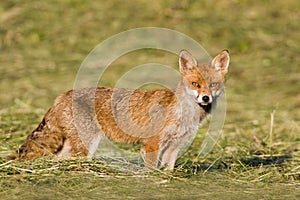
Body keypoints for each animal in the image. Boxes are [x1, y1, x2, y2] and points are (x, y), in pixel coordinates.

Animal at [12, 50, 230, 170]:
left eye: (212, 85)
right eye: (195, 84)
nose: (205, 98)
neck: (185, 114)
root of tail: (62, 95)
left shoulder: (175, 145)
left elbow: (168, 168)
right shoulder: (152, 144)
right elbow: (152, 169)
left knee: (58, 159)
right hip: (87, 144)